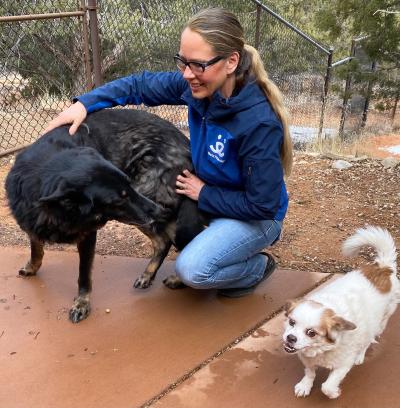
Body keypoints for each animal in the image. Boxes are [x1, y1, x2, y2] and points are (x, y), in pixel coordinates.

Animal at [5, 108, 205, 322]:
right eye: (119, 199)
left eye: (127, 187)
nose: (158, 211)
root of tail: (186, 144)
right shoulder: (31, 222)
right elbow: (36, 248)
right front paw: (32, 267)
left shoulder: (87, 235)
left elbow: (84, 274)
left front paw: (81, 304)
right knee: (164, 240)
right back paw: (148, 275)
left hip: (146, 196)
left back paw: (177, 279)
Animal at [282, 225, 398, 396]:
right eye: (291, 322)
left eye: (311, 333)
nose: (290, 338)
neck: (320, 351)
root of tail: (384, 267)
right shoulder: (307, 360)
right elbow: (310, 372)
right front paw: (305, 385)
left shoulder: (343, 365)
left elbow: (327, 386)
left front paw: (334, 393)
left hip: (379, 323)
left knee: (368, 340)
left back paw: (360, 356)